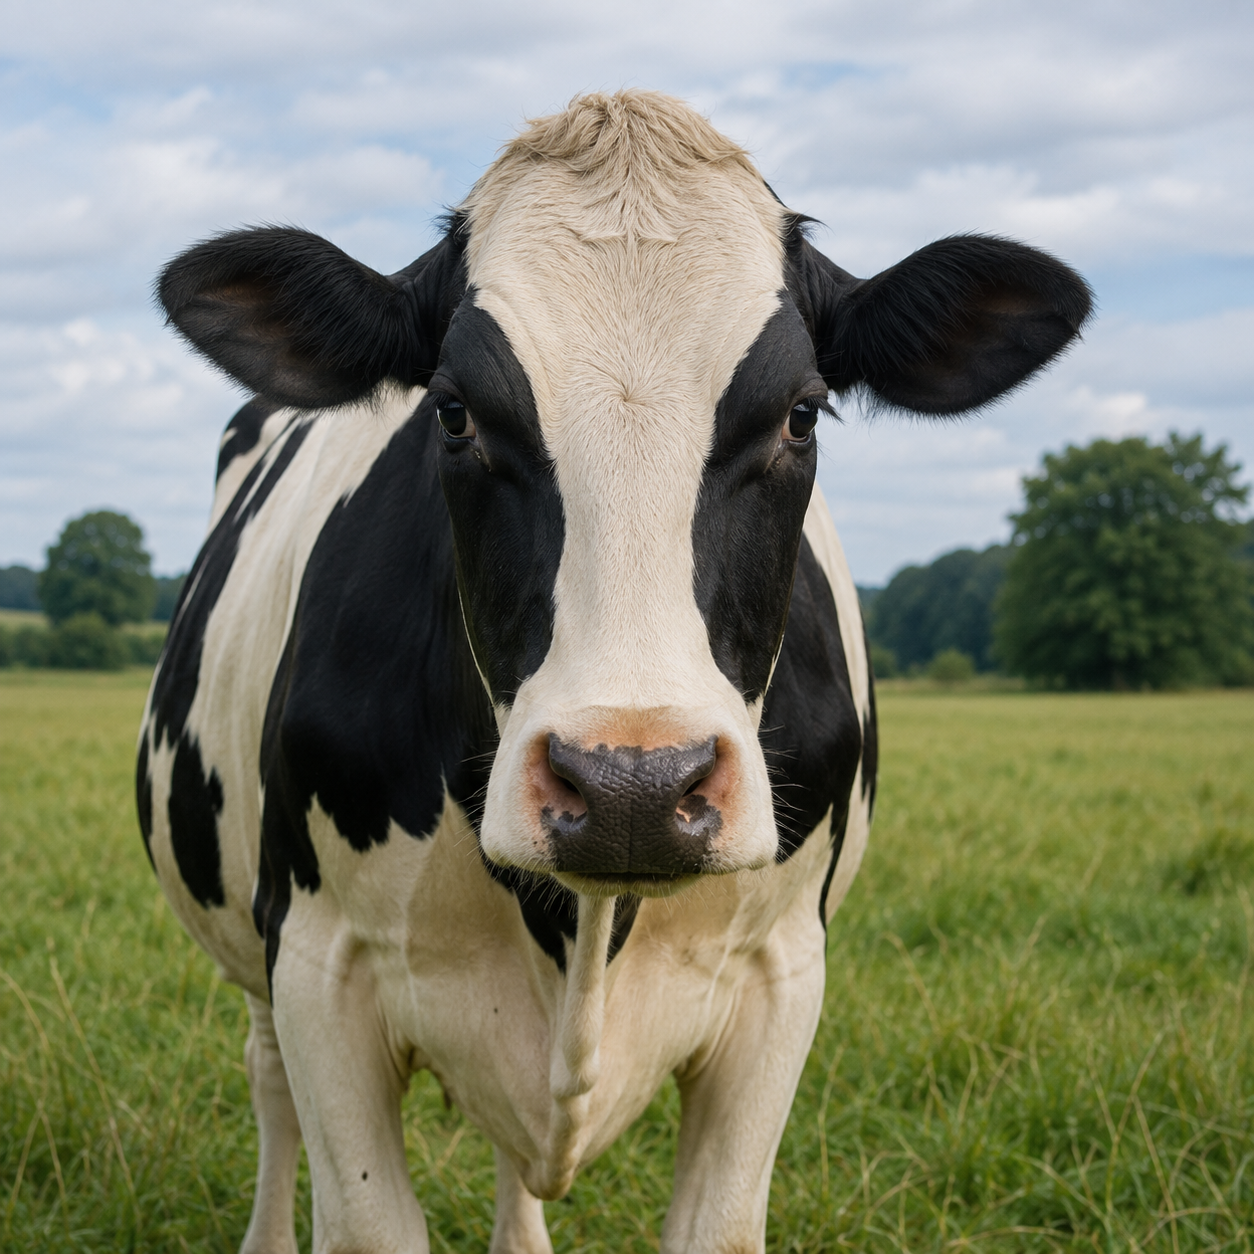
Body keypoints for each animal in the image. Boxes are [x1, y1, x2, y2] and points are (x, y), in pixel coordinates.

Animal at [138, 90, 1091, 1254]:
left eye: (802, 412)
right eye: (452, 411)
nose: (631, 786)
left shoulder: (782, 974)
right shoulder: (320, 966)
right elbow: (363, 1215)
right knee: (268, 1079)